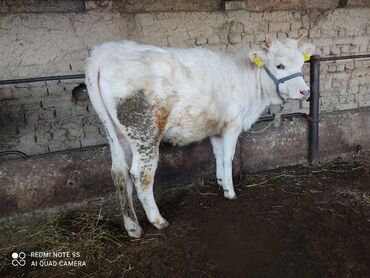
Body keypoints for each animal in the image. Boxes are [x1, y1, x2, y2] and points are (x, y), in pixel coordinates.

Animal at [86, 35, 316, 237]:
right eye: (280, 66)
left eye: (300, 64)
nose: (305, 92)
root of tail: (107, 51)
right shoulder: (232, 123)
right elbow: (228, 156)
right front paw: (230, 192)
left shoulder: (216, 127)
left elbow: (218, 154)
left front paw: (221, 181)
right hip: (144, 134)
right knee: (140, 174)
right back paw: (157, 220)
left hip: (117, 135)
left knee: (119, 173)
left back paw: (133, 227)